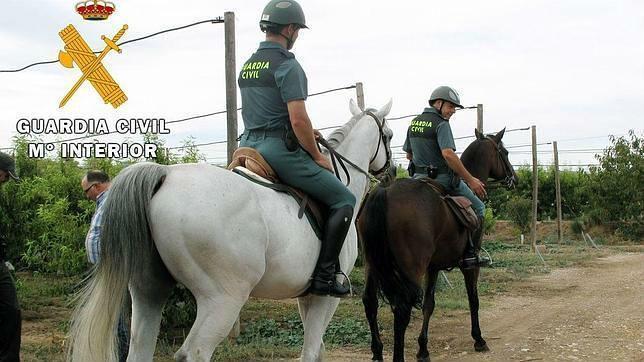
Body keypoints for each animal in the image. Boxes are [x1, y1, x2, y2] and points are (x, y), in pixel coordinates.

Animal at [69, 99, 392, 362]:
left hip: (148, 290)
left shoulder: (307, 295)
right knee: (194, 352)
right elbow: (312, 352)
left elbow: (317, 349)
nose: (390, 173)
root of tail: (166, 175)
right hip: (223, 299)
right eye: (387, 136)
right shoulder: (327, 296)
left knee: (140, 347)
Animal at [360, 128, 516, 362]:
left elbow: (429, 304)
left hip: (373, 264)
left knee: (370, 301)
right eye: (504, 152)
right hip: (411, 267)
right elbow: (473, 298)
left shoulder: (432, 267)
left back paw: (377, 352)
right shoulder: (470, 265)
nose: (514, 178)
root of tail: (385, 191)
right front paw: (478, 339)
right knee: (402, 309)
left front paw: (423, 349)